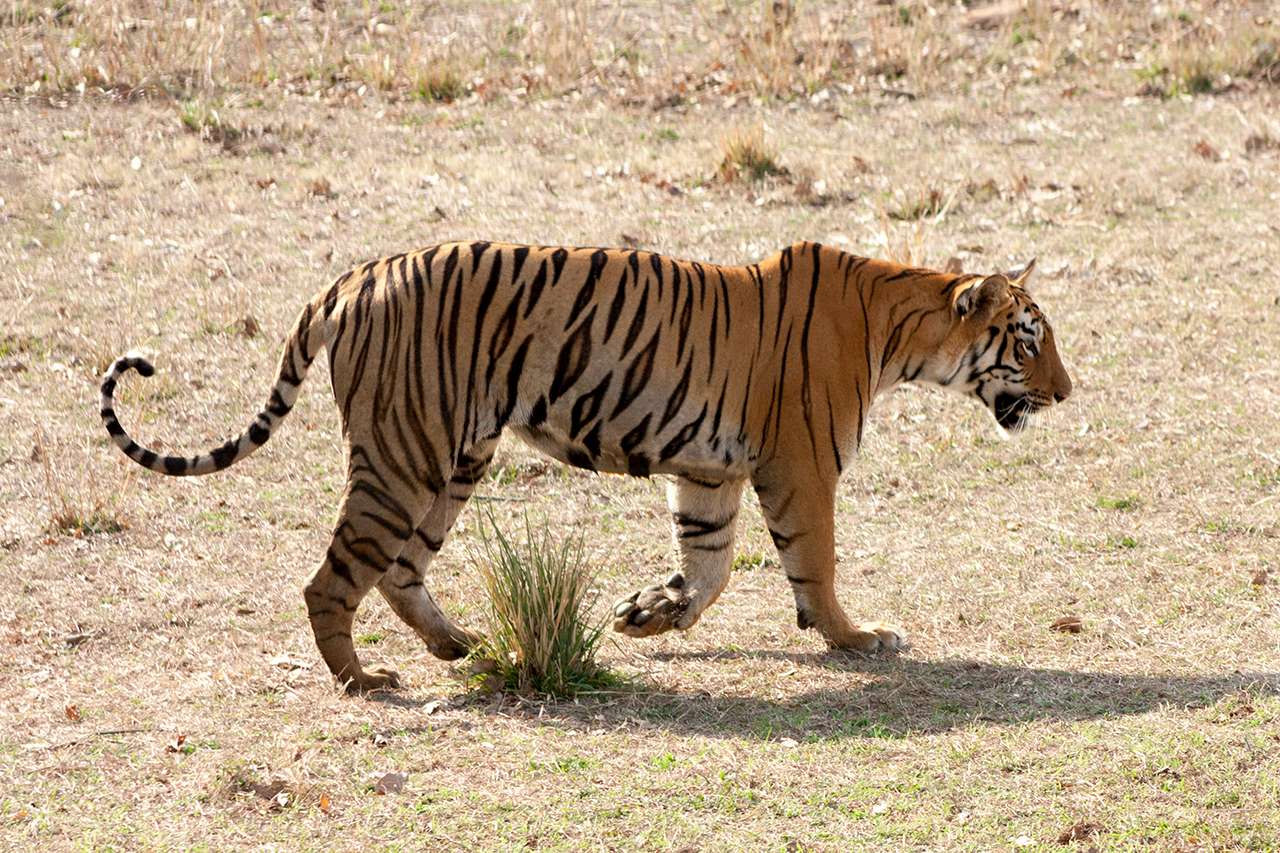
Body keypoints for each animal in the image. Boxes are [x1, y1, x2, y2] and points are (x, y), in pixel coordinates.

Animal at [100, 240, 1072, 692]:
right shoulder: (799, 465)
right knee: (333, 578)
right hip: (407, 453)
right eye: (1030, 341)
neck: (903, 329)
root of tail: (354, 276)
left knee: (402, 567)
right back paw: (365, 681)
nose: (1066, 392)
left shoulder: (710, 470)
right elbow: (815, 563)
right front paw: (858, 637)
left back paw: (457, 643)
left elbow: (709, 565)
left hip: (455, 456)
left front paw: (647, 614)